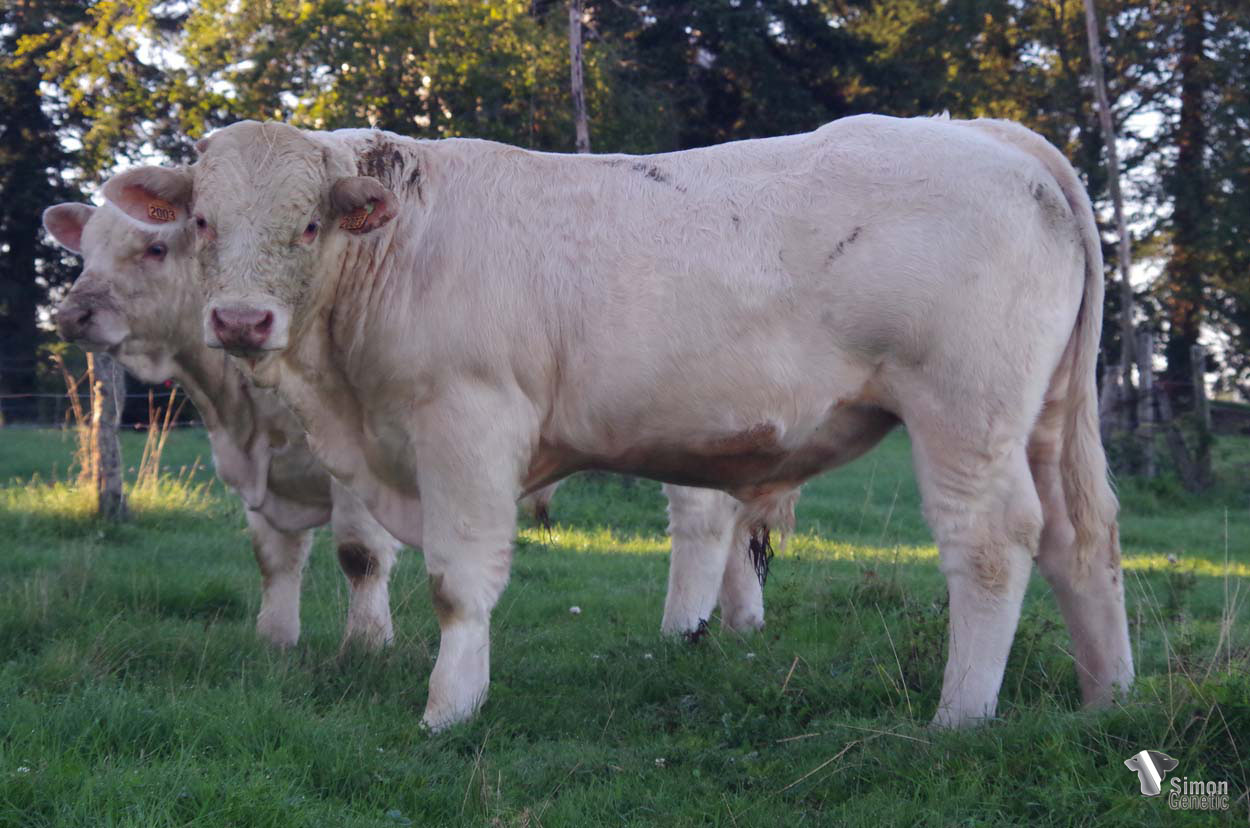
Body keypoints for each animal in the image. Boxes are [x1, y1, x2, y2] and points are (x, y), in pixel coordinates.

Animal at [42, 202, 765, 651]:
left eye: (155, 246)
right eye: (87, 250)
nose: (72, 313)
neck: (239, 410)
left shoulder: (355, 465)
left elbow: (359, 556)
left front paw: (367, 645)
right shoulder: (266, 471)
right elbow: (274, 557)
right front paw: (275, 640)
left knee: (701, 519)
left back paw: (681, 628)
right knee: (740, 524)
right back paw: (739, 621)